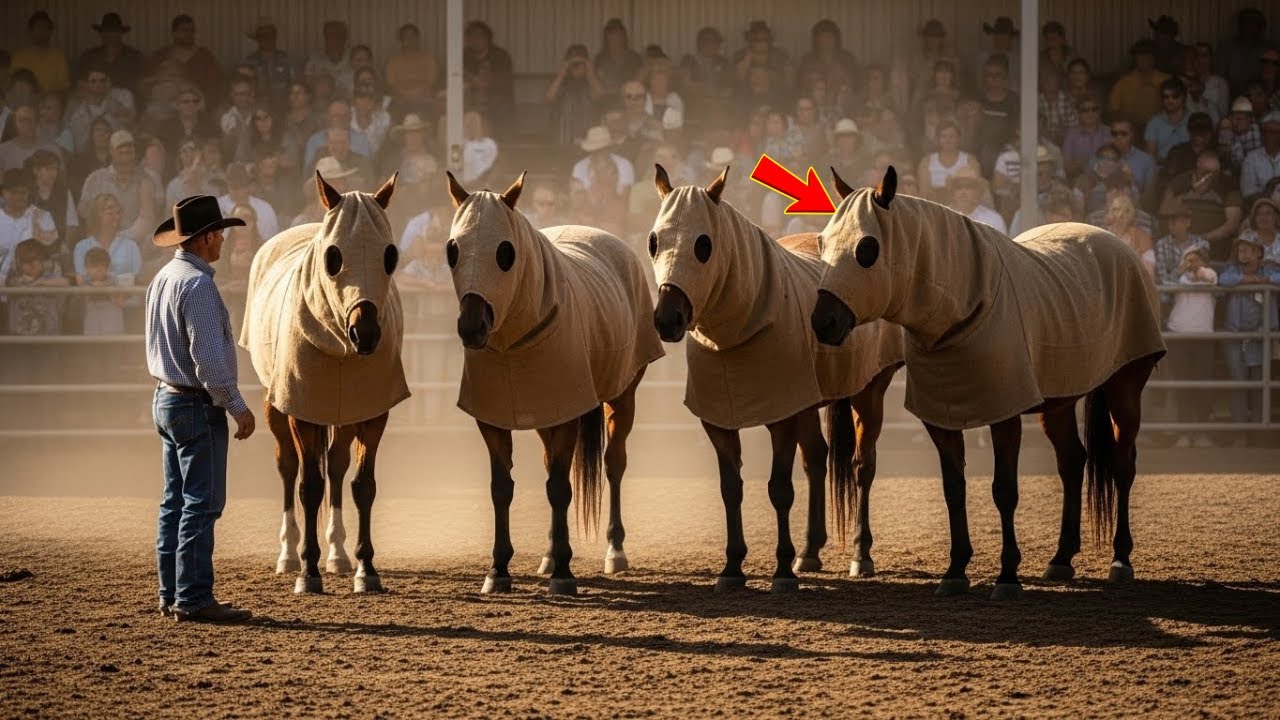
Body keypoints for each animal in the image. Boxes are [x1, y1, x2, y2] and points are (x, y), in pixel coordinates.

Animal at [239, 171, 409, 594]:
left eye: (390, 254)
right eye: (334, 257)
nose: (365, 333)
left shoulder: (372, 410)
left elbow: (362, 485)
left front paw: (367, 569)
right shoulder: (302, 410)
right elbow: (309, 486)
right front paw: (307, 572)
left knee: (335, 466)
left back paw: (338, 553)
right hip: (276, 404)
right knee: (288, 467)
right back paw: (288, 554)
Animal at [444, 170, 664, 595]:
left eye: (506, 252)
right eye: (453, 249)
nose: (472, 326)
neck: (513, 343)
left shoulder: (567, 415)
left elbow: (560, 489)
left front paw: (564, 573)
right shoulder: (494, 418)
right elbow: (503, 489)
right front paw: (499, 570)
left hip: (621, 396)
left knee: (613, 463)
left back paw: (614, 551)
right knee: (552, 468)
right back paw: (547, 555)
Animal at [648, 165, 904, 591]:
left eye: (704, 244)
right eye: (654, 241)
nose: (668, 318)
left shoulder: (781, 416)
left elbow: (779, 489)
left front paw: (782, 571)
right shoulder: (720, 419)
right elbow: (731, 489)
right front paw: (732, 567)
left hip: (870, 392)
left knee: (861, 466)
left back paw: (860, 554)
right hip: (808, 401)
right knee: (817, 460)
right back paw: (810, 551)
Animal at [810, 166, 1167, 599]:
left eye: (867, 248)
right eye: (822, 241)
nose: (823, 321)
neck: (963, 307)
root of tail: (1116, 244)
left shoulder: (1004, 414)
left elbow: (1004, 491)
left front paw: (1008, 576)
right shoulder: (942, 418)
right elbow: (954, 488)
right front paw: (955, 569)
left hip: (1125, 388)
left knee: (1122, 463)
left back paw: (1120, 558)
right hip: (1059, 403)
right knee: (1072, 462)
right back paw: (1061, 558)